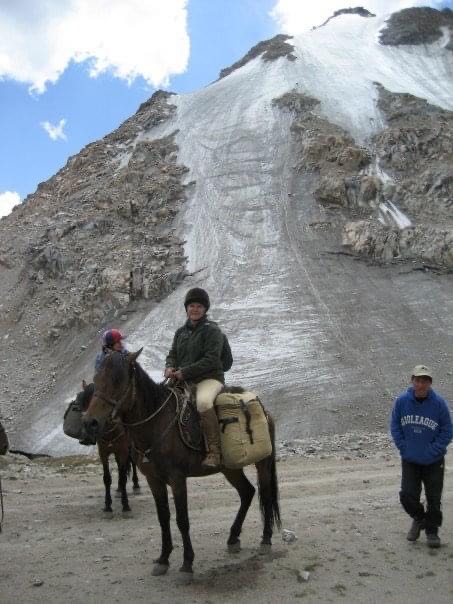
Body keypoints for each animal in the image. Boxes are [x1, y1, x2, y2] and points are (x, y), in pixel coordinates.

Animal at [78, 382, 139, 510]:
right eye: (85, 403)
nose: (89, 424)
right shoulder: (103, 452)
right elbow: (107, 478)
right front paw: (107, 505)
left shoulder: (123, 451)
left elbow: (124, 476)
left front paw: (125, 504)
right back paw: (119, 489)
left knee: (132, 463)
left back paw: (136, 485)